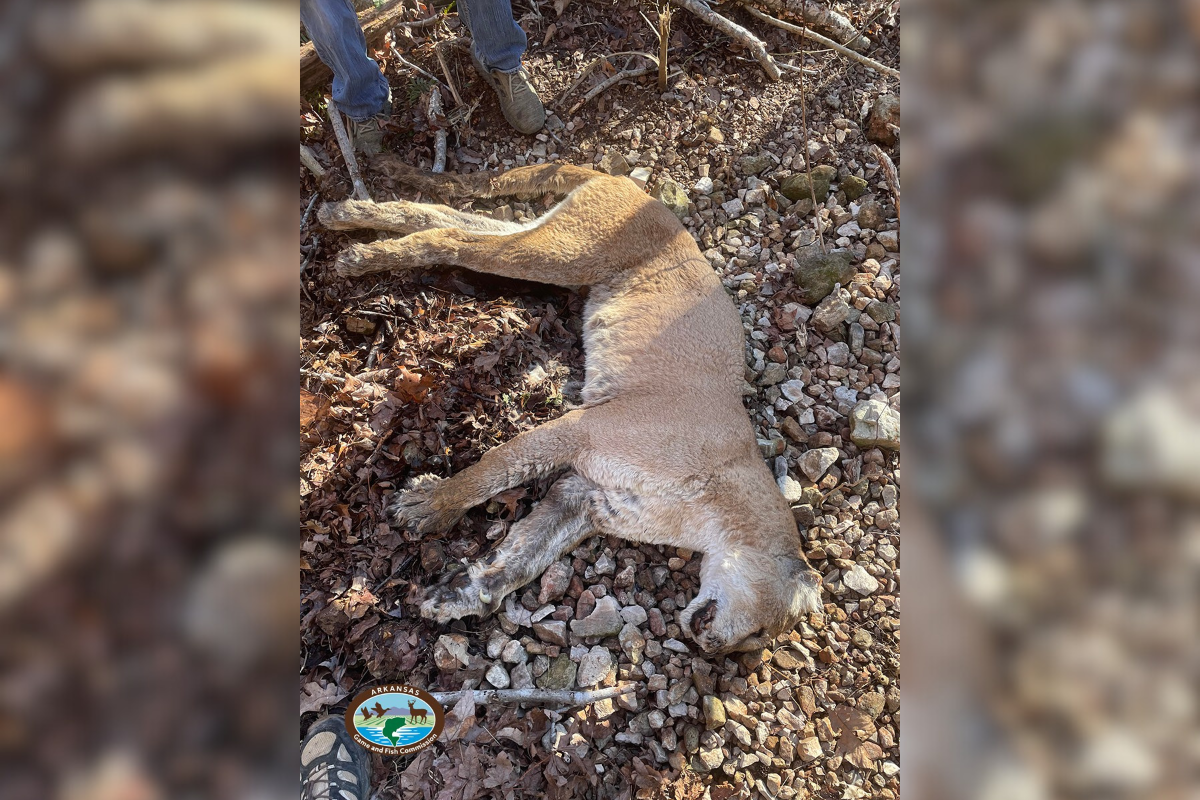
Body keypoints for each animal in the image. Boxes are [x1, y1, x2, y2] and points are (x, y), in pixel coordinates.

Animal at [318, 160, 823, 653]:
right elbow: (494, 470)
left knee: (445, 218)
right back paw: (359, 257)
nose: (715, 652)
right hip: (569, 254)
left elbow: (524, 556)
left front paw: (462, 595)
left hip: (554, 240)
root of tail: (628, 185)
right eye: (760, 634)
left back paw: (345, 214)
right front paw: (433, 504)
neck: (716, 505)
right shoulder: (585, 428)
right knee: (455, 238)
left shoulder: (585, 497)